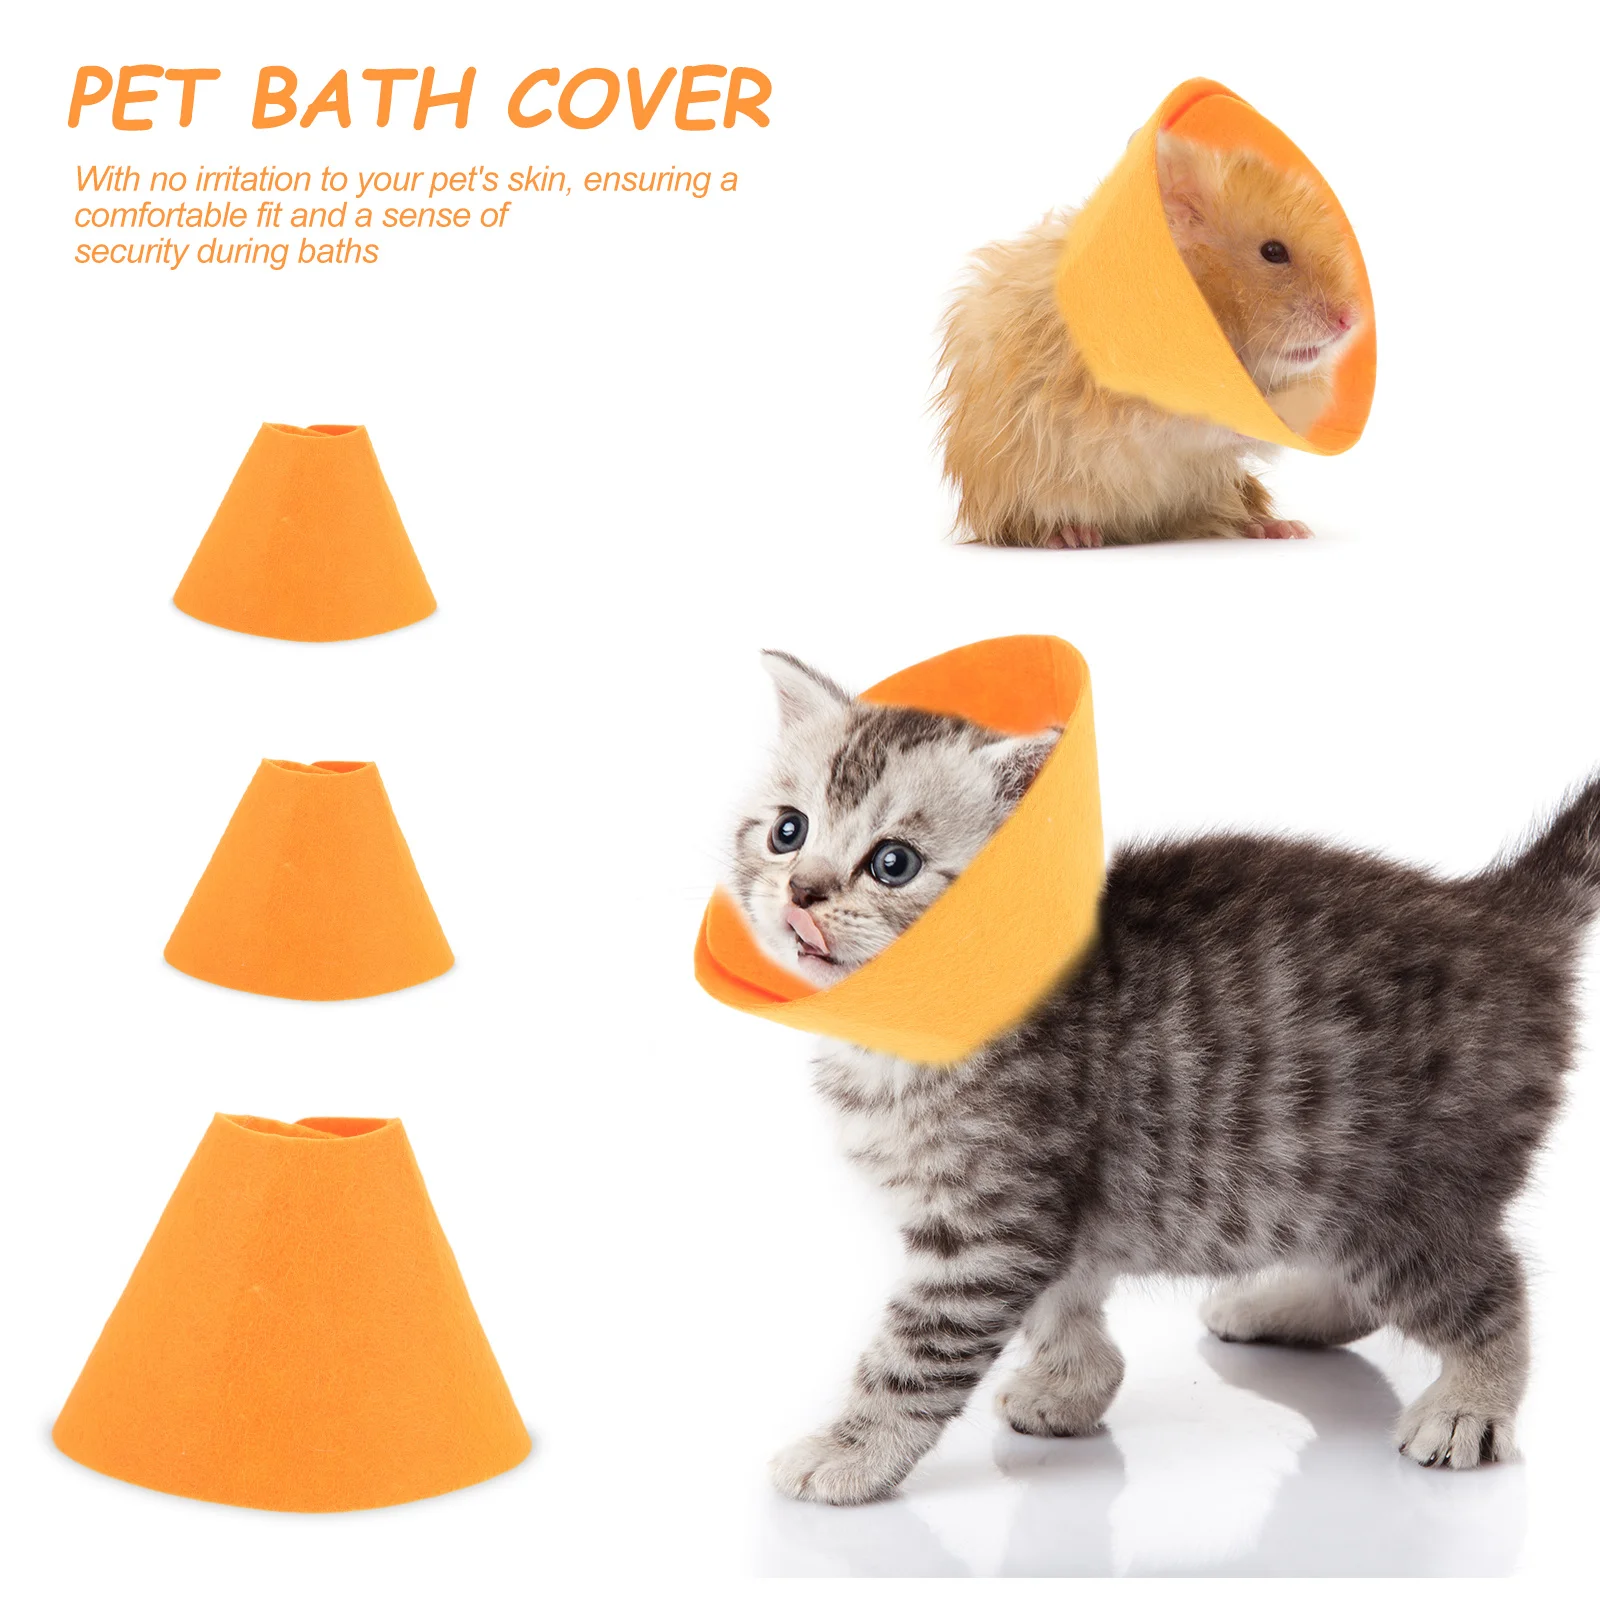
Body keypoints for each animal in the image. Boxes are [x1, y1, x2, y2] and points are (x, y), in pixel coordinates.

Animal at [937, 133, 1362, 548]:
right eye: (1273, 251)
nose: (1350, 320)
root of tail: (1136, 529)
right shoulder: (1123, 401)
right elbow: (1193, 418)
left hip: (1213, 489)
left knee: (1225, 511)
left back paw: (1282, 527)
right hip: (1016, 488)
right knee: (1021, 526)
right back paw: (1073, 534)